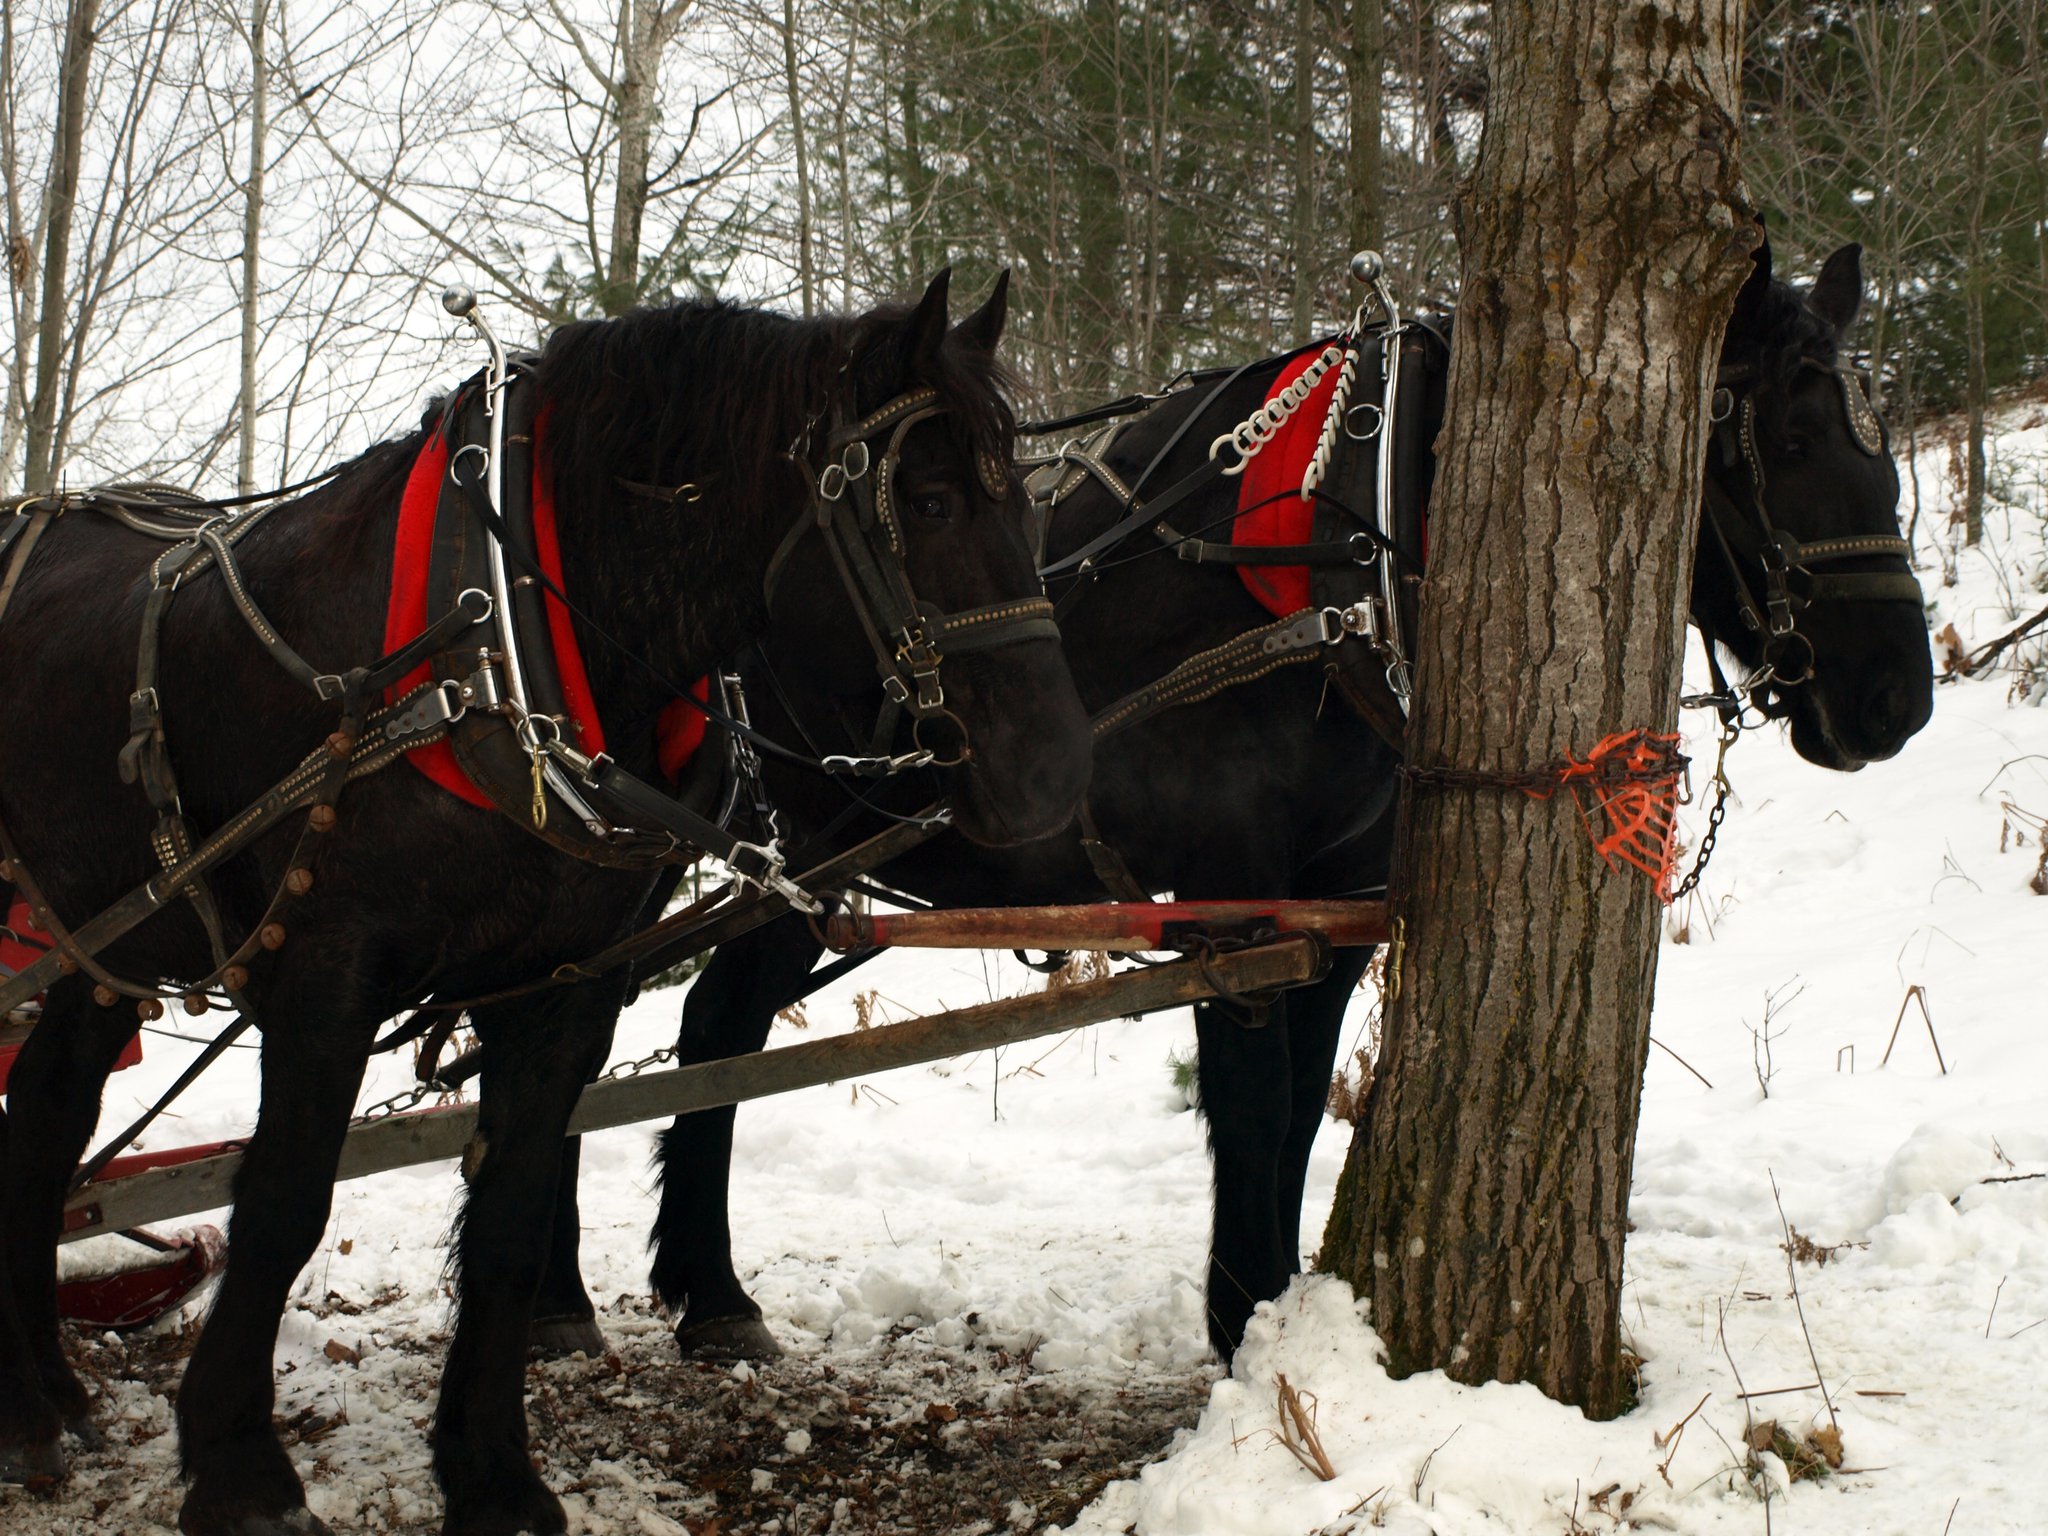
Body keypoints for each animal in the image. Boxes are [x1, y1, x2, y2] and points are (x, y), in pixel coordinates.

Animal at [0, 270, 1092, 1536]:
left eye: (1022, 504)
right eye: (925, 498)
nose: (1053, 778)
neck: (494, 640)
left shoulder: (560, 983)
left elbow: (512, 1216)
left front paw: (492, 1473)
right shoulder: (326, 968)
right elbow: (281, 1205)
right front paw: (239, 1467)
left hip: (102, 948)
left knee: (43, 1126)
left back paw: (45, 1395)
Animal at [530, 234, 1934, 1370]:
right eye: (1784, 443)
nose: (1895, 699)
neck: (1327, 564)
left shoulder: (1330, 905)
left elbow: (1300, 1108)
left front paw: (1269, 1306)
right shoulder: (1230, 900)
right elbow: (1251, 1106)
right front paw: (1244, 1316)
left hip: (795, 866)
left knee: (698, 1024)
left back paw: (686, 1295)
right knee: (583, 1026)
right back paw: (590, 1295)